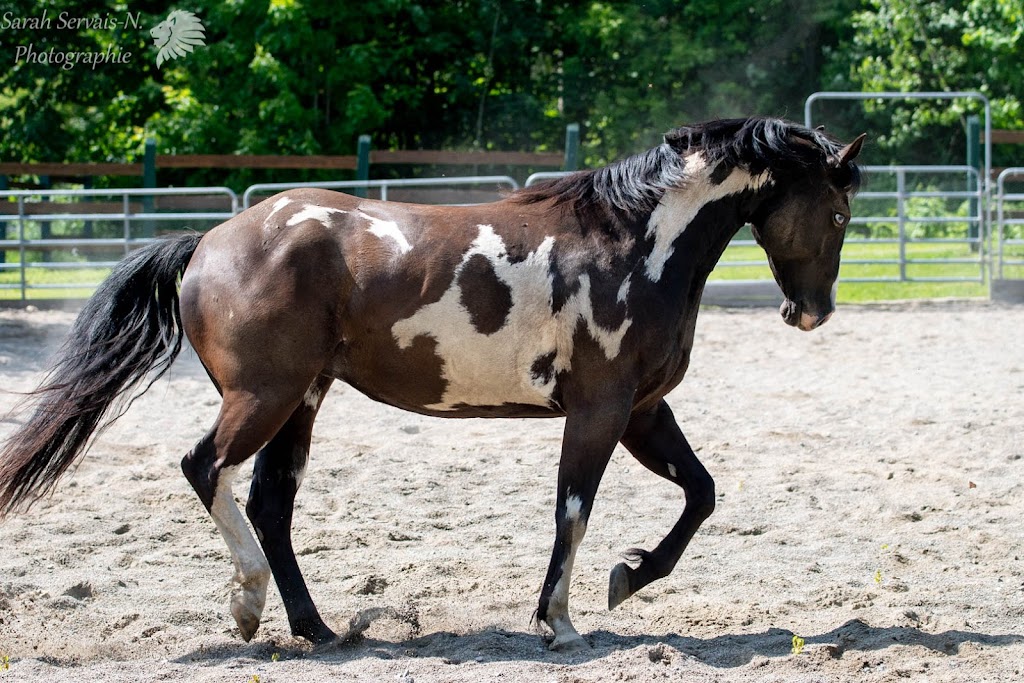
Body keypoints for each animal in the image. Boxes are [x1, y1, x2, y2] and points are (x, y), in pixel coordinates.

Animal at [0, 117, 864, 651]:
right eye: (839, 212)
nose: (811, 311)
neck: (634, 242)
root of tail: (211, 240)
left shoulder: (644, 409)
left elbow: (701, 492)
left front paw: (630, 576)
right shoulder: (600, 409)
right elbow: (574, 511)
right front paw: (560, 621)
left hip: (301, 400)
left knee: (271, 503)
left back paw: (316, 629)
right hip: (264, 397)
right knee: (205, 468)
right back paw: (247, 606)